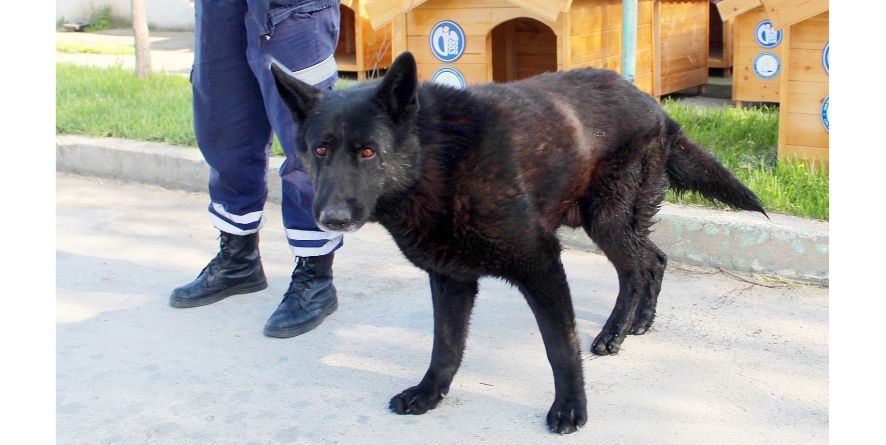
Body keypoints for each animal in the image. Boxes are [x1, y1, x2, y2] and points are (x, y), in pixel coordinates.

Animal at [268, 53, 764, 434]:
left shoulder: (541, 264)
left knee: (637, 268)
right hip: (613, 221)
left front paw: (571, 409)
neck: (437, 165)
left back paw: (613, 333)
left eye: (368, 152)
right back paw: (639, 323)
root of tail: (657, 108)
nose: (330, 219)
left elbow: (560, 348)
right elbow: (445, 345)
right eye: (320, 150)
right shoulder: (449, 278)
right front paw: (430, 393)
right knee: (655, 259)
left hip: (606, 220)